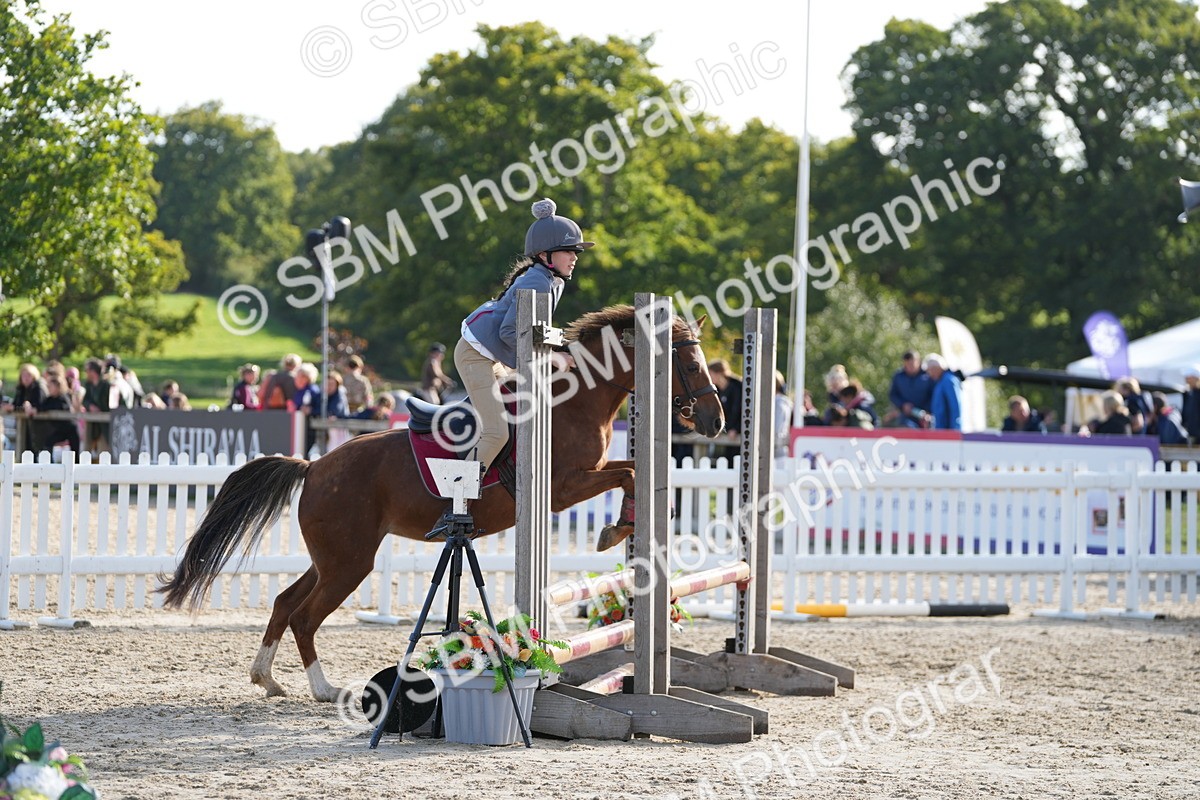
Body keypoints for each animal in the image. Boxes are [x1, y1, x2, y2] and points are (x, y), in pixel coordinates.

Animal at [158, 304, 725, 702]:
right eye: (690, 363)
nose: (716, 421)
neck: (577, 400)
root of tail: (314, 466)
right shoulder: (563, 488)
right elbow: (628, 475)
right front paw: (618, 528)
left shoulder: (578, 479)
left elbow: (630, 471)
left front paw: (627, 523)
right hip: (349, 562)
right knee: (304, 616)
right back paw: (323, 689)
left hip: (333, 558)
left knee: (283, 602)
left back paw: (267, 678)